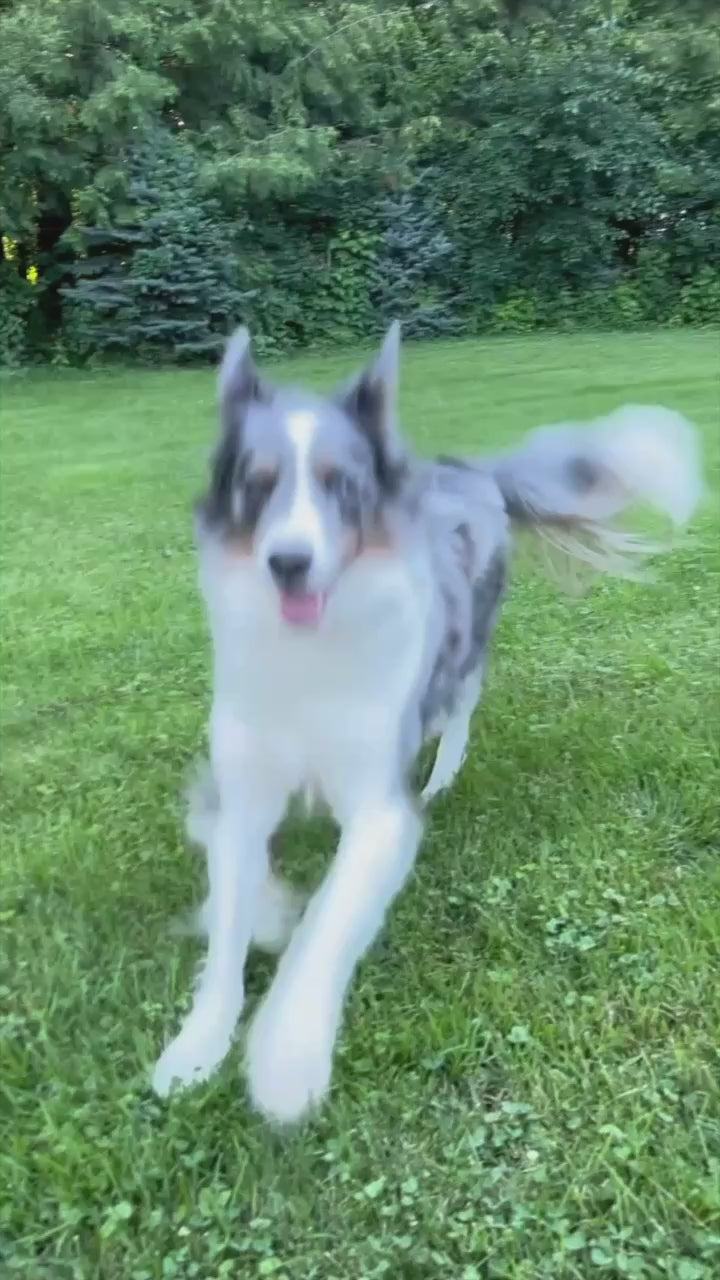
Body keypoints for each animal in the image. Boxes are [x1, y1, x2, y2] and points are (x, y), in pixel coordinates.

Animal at [151, 322, 702, 1123]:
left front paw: (286, 1061)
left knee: (462, 704)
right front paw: (198, 1044)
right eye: (257, 484)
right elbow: (230, 916)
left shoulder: (378, 803)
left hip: (464, 643)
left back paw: (442, 773)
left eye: (339, 484)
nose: (289, 562)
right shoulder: (244, 784)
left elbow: (328, 919)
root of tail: (468, 469)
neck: (309, 648)